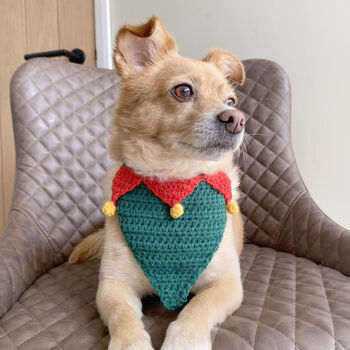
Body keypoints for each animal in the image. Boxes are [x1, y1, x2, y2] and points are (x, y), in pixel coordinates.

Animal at [69, 15, 246, 350]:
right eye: (184, 91)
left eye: (231, 100)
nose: (237, 118)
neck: (173, 182)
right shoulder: (113, 285)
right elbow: (123, 315)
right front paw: (130, 344)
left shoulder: (227, 283)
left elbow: (198, 307)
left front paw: (186, 340)